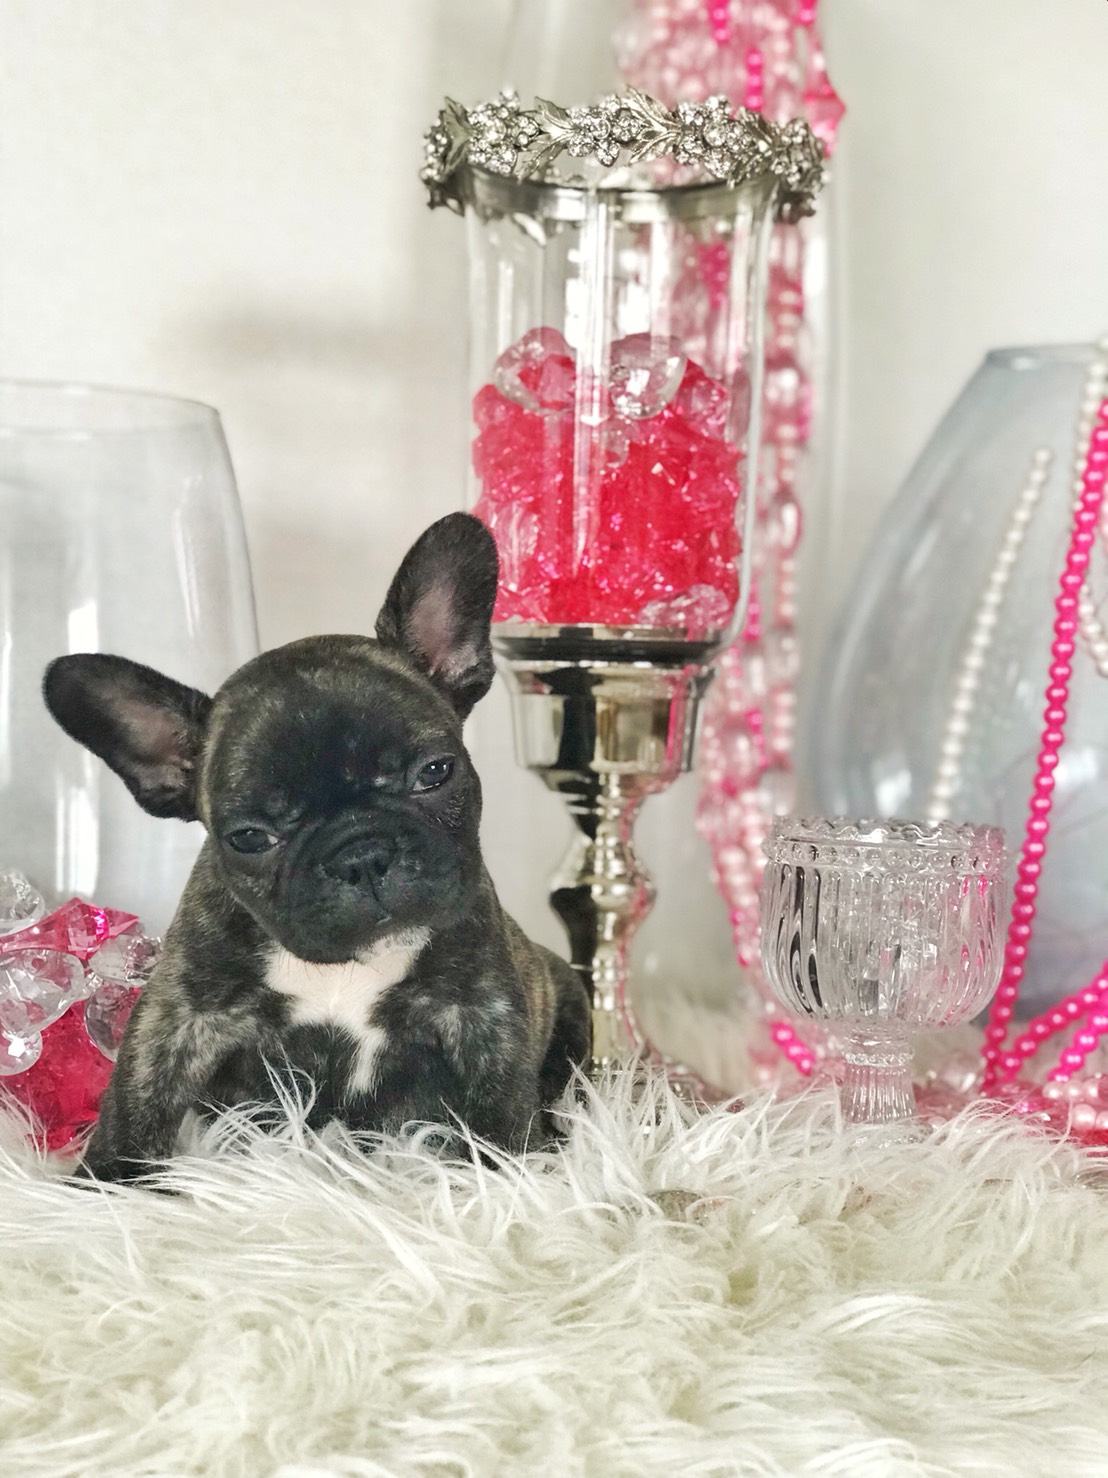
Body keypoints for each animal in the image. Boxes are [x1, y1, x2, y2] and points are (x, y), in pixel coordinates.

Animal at [43, 512, 590, 1182]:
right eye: (250, 837)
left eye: (435, 773)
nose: (362, 854)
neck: (349, 964)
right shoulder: (179, 1015)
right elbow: (137, 1094)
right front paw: (108, 1181)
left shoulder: (483, 1013)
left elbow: (501, 1103)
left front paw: (506, 1176)